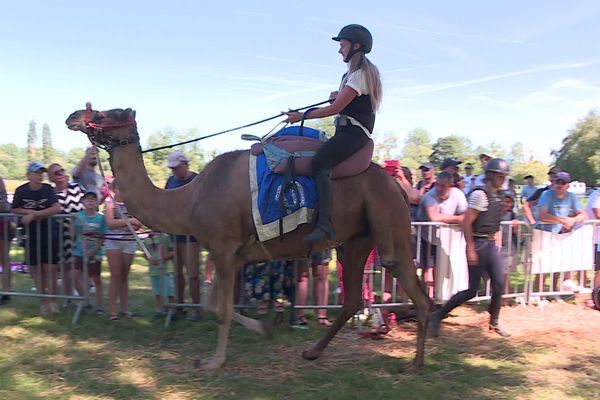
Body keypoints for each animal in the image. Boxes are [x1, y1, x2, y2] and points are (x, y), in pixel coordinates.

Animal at [65, 105, 432, 372]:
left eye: (105, 114)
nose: (73, 116)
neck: (188, 199)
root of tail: (397, 184)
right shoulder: (230, 254)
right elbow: (212, 304)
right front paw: (263, 328)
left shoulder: (224, 248)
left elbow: (223, 310)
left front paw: (213, 362)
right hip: (354, 242)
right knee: (353, 298)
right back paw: (312, 352)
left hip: (388, 224)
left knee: (416, 291)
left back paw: (414, 365)